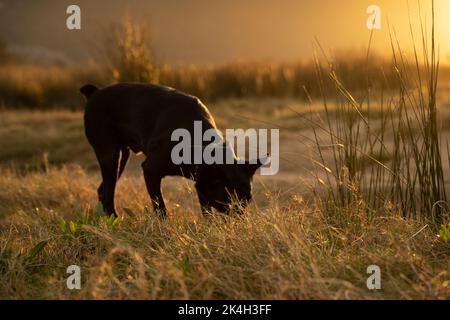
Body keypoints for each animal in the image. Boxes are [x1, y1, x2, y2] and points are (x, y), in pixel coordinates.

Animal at [80, 82, 264, 218]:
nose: (240, 218)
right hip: (110, 155)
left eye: (247, 199)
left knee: (103, 190)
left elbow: (205, 210)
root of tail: (94, 93)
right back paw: (115, 220)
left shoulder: (202, 184)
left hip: (121, 157)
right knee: (108, 193)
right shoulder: (151, 171)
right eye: (228, 200)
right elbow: (160, 207)